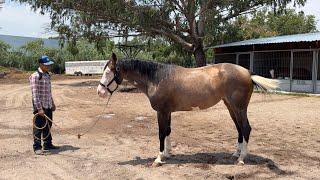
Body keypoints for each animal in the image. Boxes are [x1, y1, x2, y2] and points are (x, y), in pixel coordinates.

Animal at [95, 52, 278, 166]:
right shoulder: (167, 112)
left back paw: (241, 159)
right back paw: (235, 154)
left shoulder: (161, 111)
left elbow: (161, 133)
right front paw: (167, 153)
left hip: (239, 108)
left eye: (109, 72)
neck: (157, 78)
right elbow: (168, 131)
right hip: (231, 107)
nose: (100, 92)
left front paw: (159, 158)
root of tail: (247, 72)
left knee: (246, 128)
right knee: (239, 128)